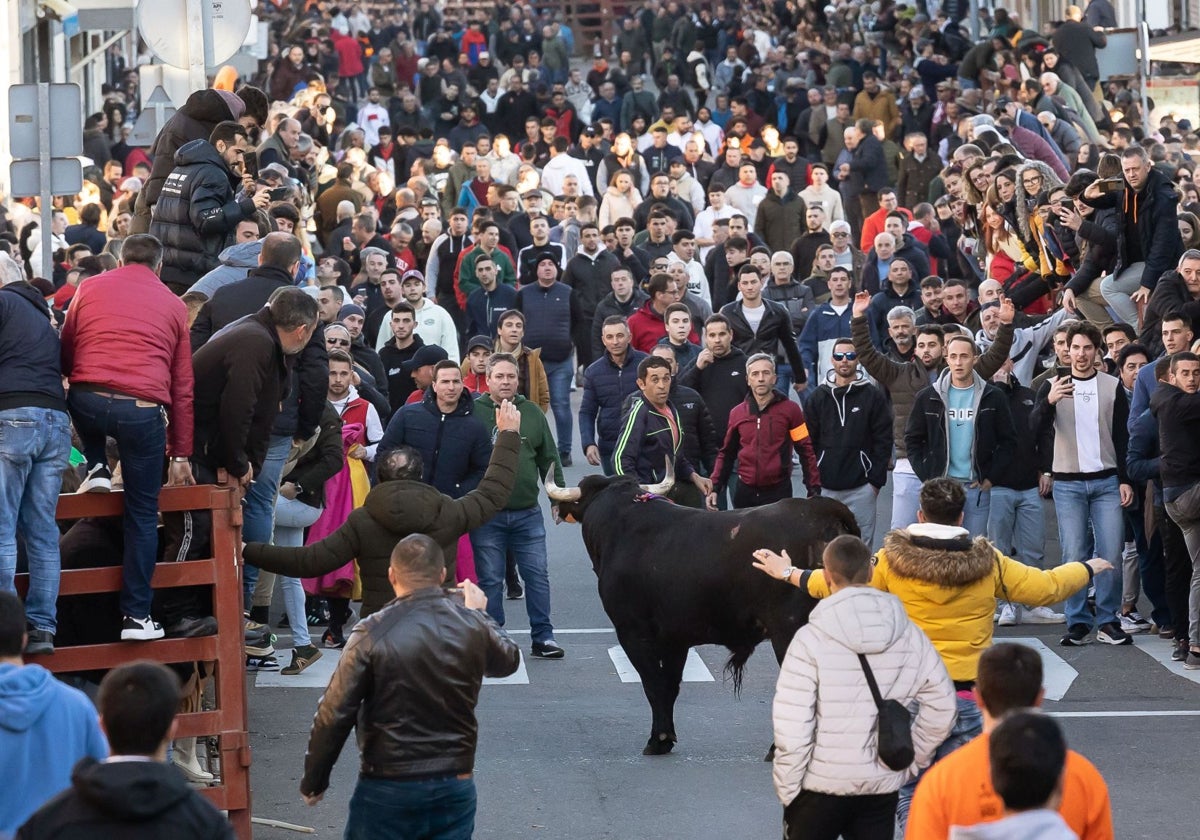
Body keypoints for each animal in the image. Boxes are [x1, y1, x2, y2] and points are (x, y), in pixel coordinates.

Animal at [549, 472, 859, 753]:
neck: (622, 524)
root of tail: (820, 509)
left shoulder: (633, 632)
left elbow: (652, 684)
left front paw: (657, 739)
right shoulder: (675, 638)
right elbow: (669, 686)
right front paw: (667, 738)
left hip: (790, 632)